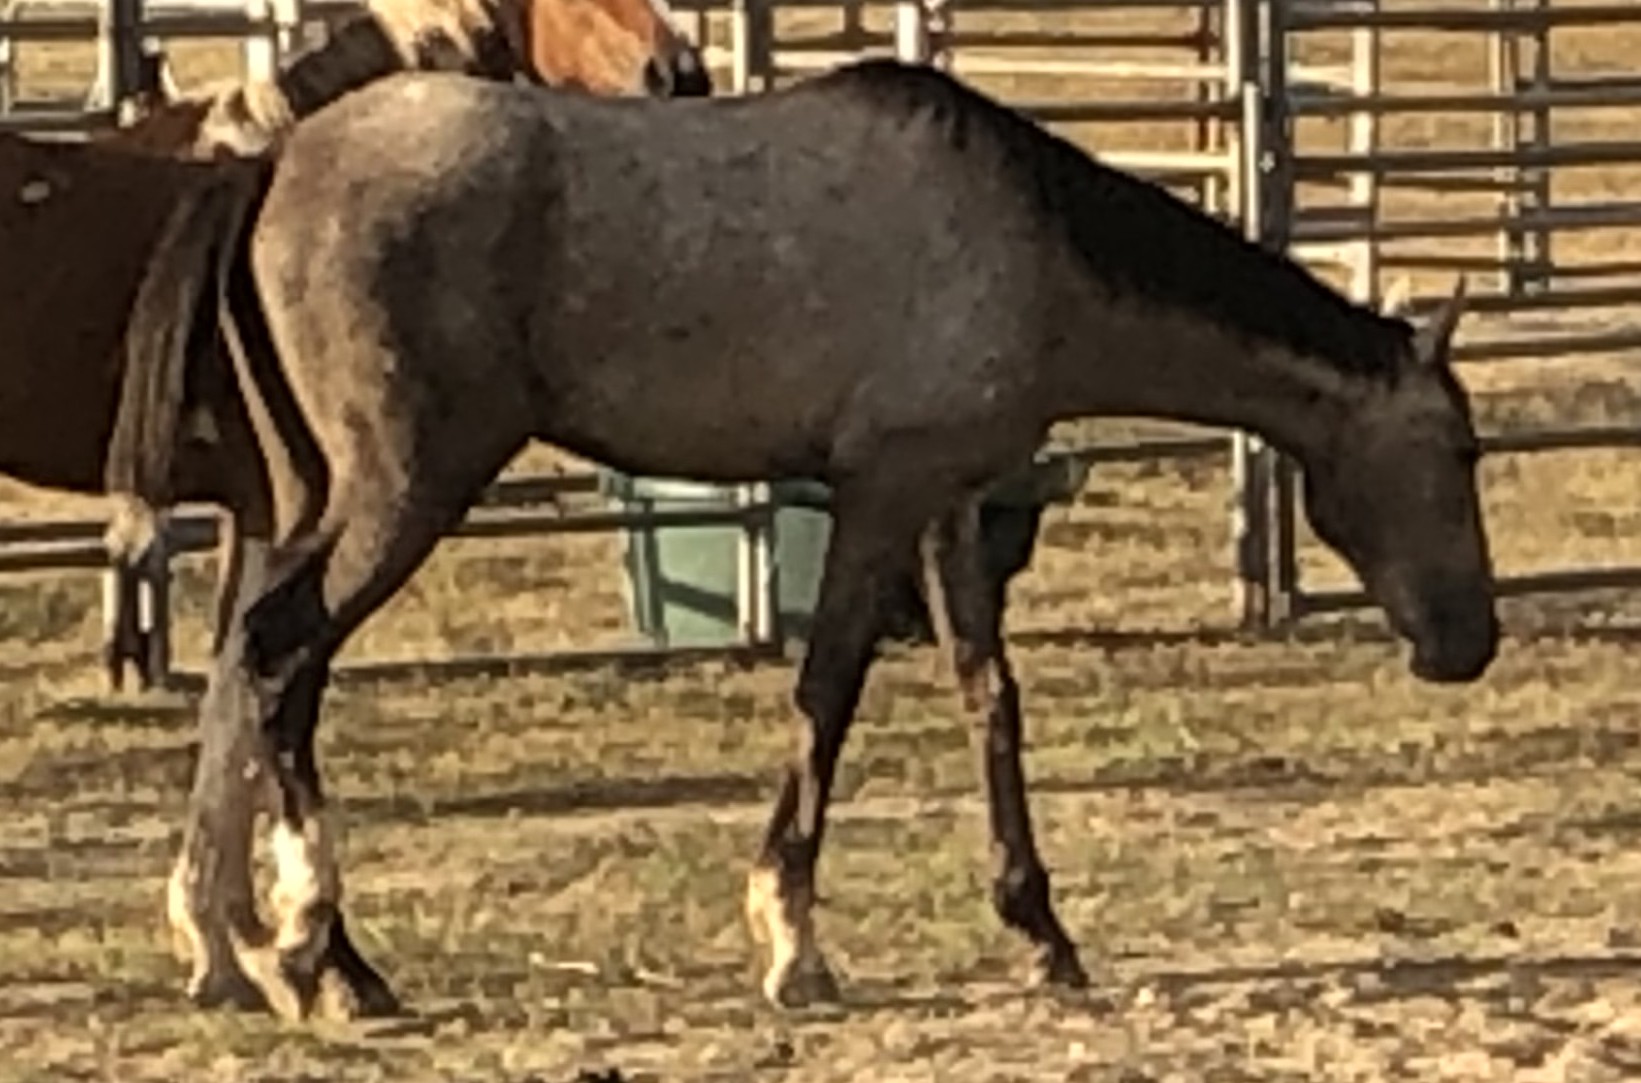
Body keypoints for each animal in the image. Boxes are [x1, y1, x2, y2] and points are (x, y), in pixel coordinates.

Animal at [133, 60, 1498, 1021]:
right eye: (1459, 452)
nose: (1469, 643)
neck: (1024, 242)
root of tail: (280, 162)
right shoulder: (881, 498)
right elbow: (827, 691)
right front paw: (793, 937)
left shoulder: (949, 499)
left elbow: (988, 697)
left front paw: (1040, 929)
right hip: (401, 494)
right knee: (282, 656)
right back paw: (325, 957)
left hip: (309, 501)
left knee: (252, 667)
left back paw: (260, 943)